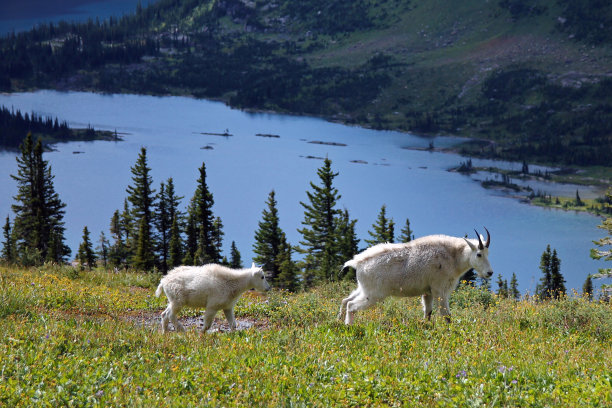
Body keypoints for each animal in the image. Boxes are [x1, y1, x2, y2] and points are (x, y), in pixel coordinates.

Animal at [338, 230, 494, 326]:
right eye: (479, 254)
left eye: (488, 253)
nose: (490, 273)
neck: (454, 256)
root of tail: (357, 263)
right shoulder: (440, 289)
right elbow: (446, 314)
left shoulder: (428, 291)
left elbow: (428, 312)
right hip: (374, 294)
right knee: (351, 305)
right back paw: (349, 325)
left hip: (363, 288)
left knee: (346, 300)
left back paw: (339, 321)